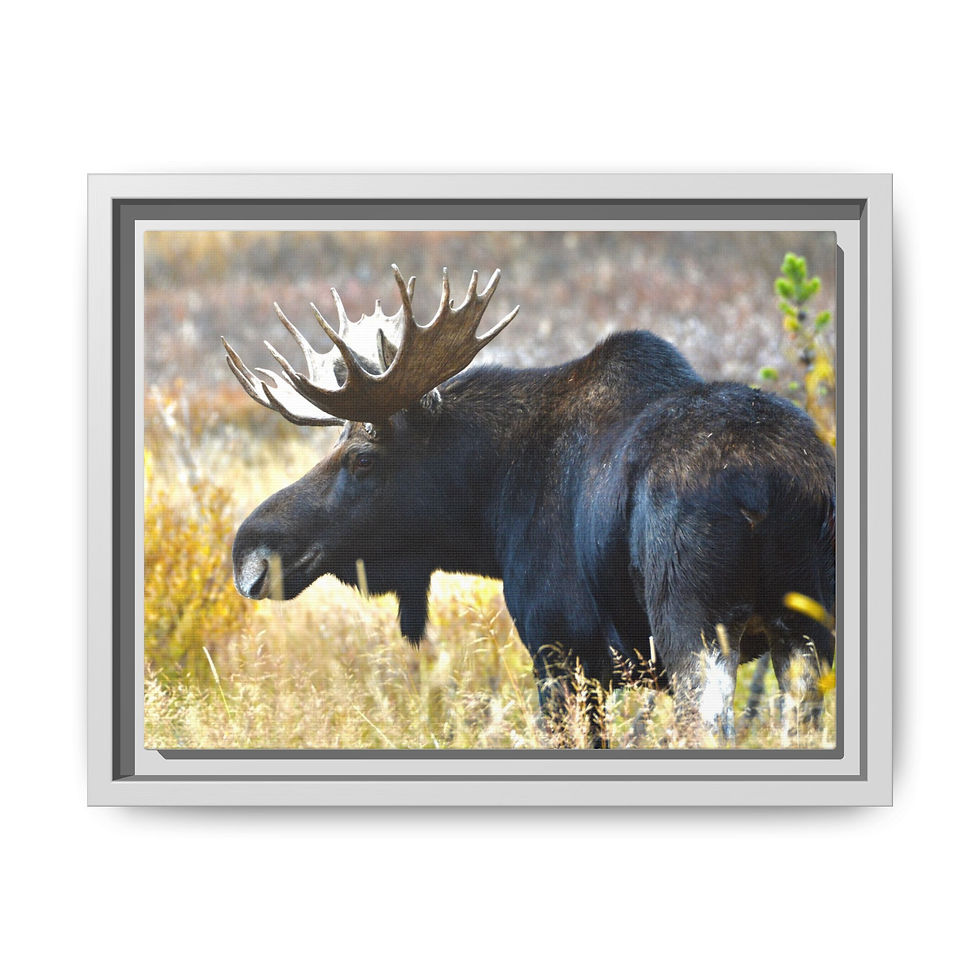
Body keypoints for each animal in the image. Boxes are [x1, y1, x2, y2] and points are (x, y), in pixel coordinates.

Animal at [222, 266, 836, 747]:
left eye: (362, 459)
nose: (249, 549)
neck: (492, 514)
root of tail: (767, 487)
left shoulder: (558, 648)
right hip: (805, 628)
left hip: (695, 625)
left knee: (706, 726)